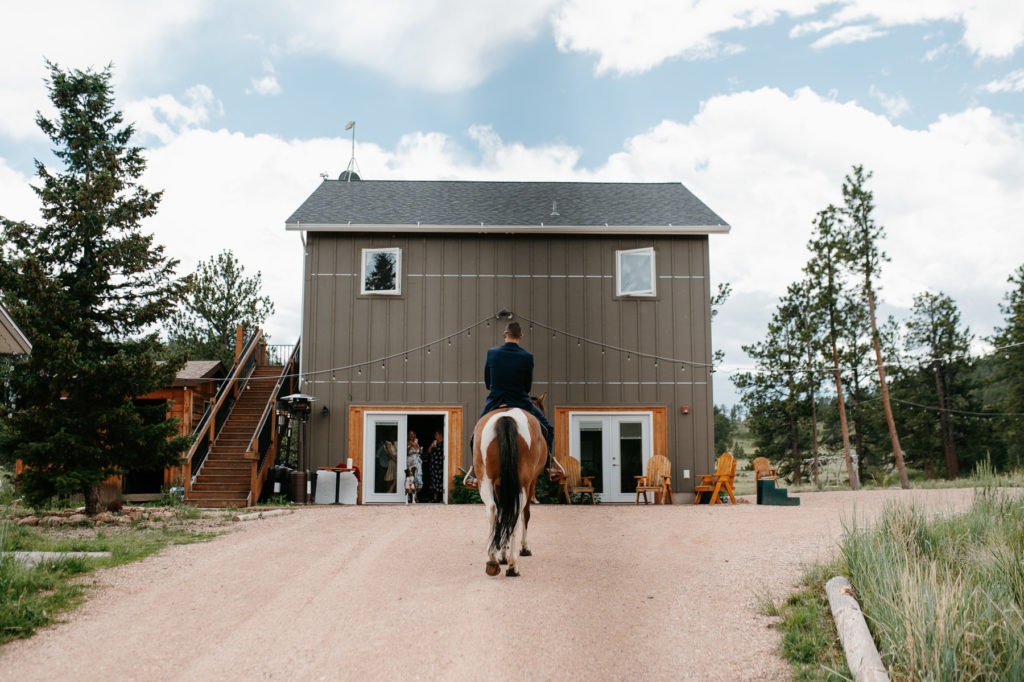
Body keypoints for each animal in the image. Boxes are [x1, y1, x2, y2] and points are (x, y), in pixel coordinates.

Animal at [473, 393, 552, 573]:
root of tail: (506, 417)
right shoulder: (530, 483)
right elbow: (525, 514)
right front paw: (523, 548)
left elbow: (503, 513)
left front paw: (502, 552)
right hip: (522, 483)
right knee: (517, 511)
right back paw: (513, 564)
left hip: (485, 480)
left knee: (492, 509)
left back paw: (493, 559)